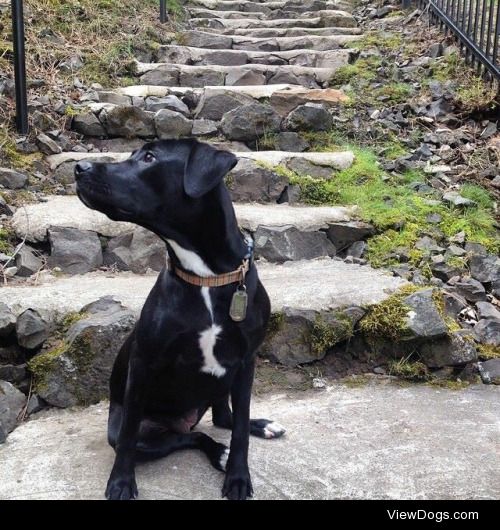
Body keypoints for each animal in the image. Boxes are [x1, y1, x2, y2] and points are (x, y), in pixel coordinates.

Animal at [74, 138, 286, 498]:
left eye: (149, 157)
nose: (79, 168)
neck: (207, 277)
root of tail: (184, 419)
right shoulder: (142, 363)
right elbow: (128, 437)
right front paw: (121, 482)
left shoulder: (246, 360)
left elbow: (240, 429)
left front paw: (238, 476)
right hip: (147, 430)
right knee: (189, 436)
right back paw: (218, 452)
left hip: (225, 381)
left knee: (225, 420)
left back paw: (257, 428)